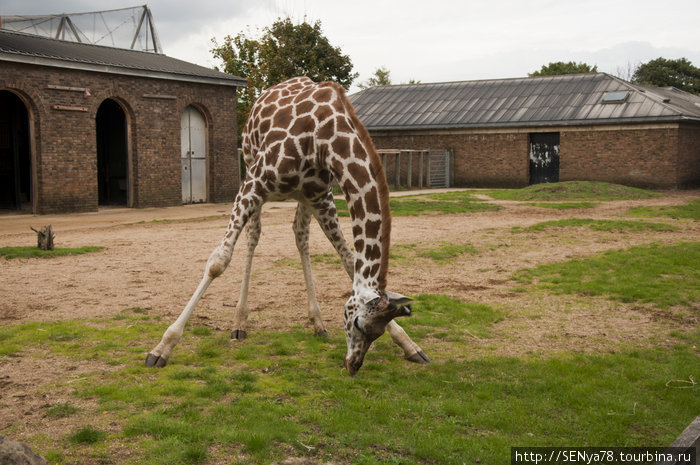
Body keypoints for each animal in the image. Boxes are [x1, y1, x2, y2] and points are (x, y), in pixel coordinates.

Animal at [146, 75, 430, 374]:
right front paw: (163, 346)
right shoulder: (254, 183)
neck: (325, 139)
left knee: (299, 234)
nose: (353, 365)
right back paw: (239, 323)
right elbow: (218, 262)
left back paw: (317, 322)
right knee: (254, 235)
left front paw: (408, 343)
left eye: (379, 332)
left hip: (304, 197)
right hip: (250, 165)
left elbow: (349, 261)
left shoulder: (321, 197)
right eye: (358, 324)